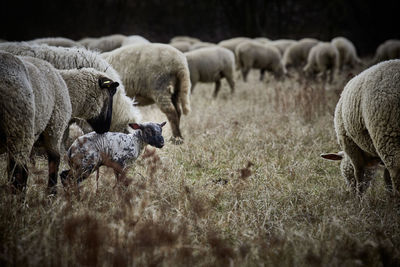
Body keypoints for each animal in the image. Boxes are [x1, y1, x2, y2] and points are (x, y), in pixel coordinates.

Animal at [0, 51, 119, 194]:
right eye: (112, 92)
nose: (106, 128)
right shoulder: (55, 127)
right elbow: (55, 160)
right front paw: (52, 193)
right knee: (20, 172)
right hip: (19, 129)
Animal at [320, 59, 400, 196]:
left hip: (387, 132)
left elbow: (359, 173)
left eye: (347, 176)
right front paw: (389, 195)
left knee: (396, 168)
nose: (351, 192)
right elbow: (386, 176)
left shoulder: (350, 145)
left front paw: (359, 197)